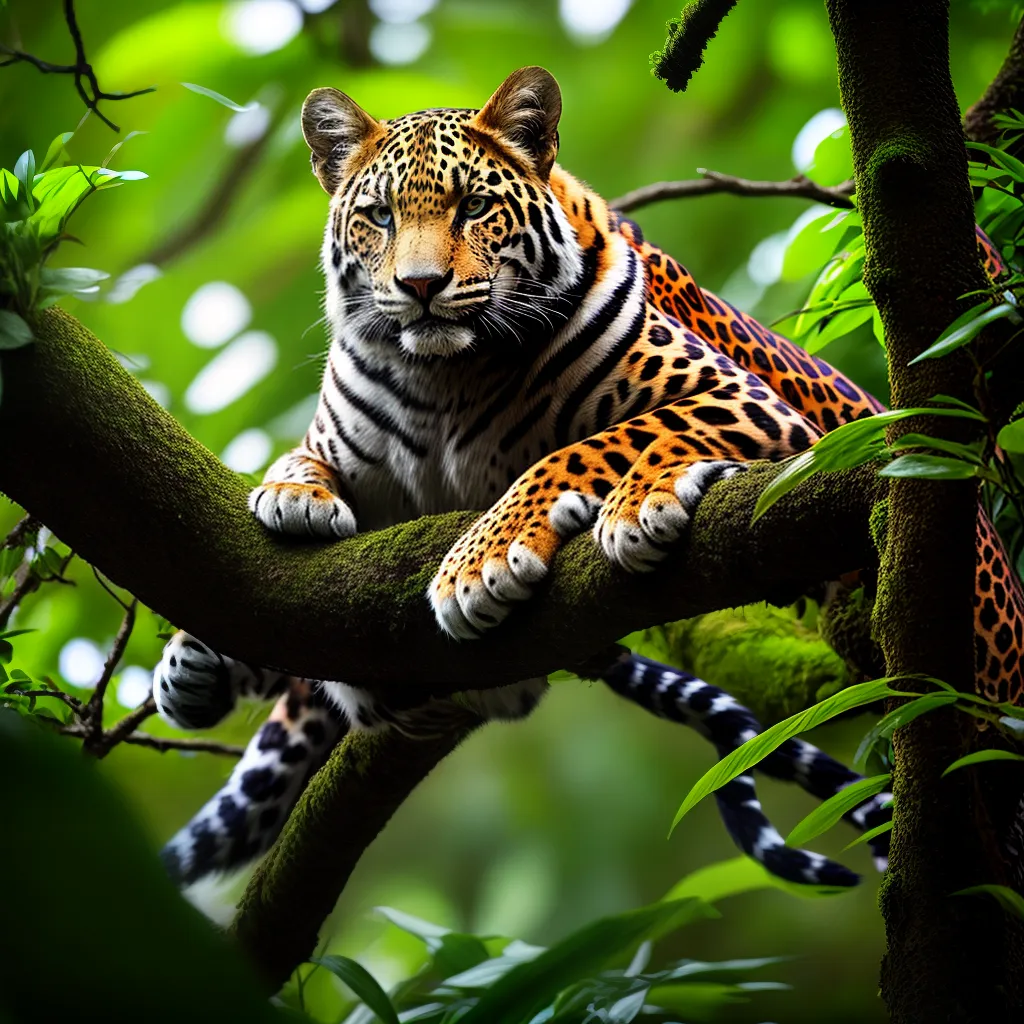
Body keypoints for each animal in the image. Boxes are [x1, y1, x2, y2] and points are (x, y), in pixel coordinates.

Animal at [152, 66, 1020, 893]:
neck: (441, 380)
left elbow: (591, 443)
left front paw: (490, 558)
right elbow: (305, 456)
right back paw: (201, 666)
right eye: (380, 217)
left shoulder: (742, 400)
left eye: (473, 208)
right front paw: (292, 495)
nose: (421, 287)